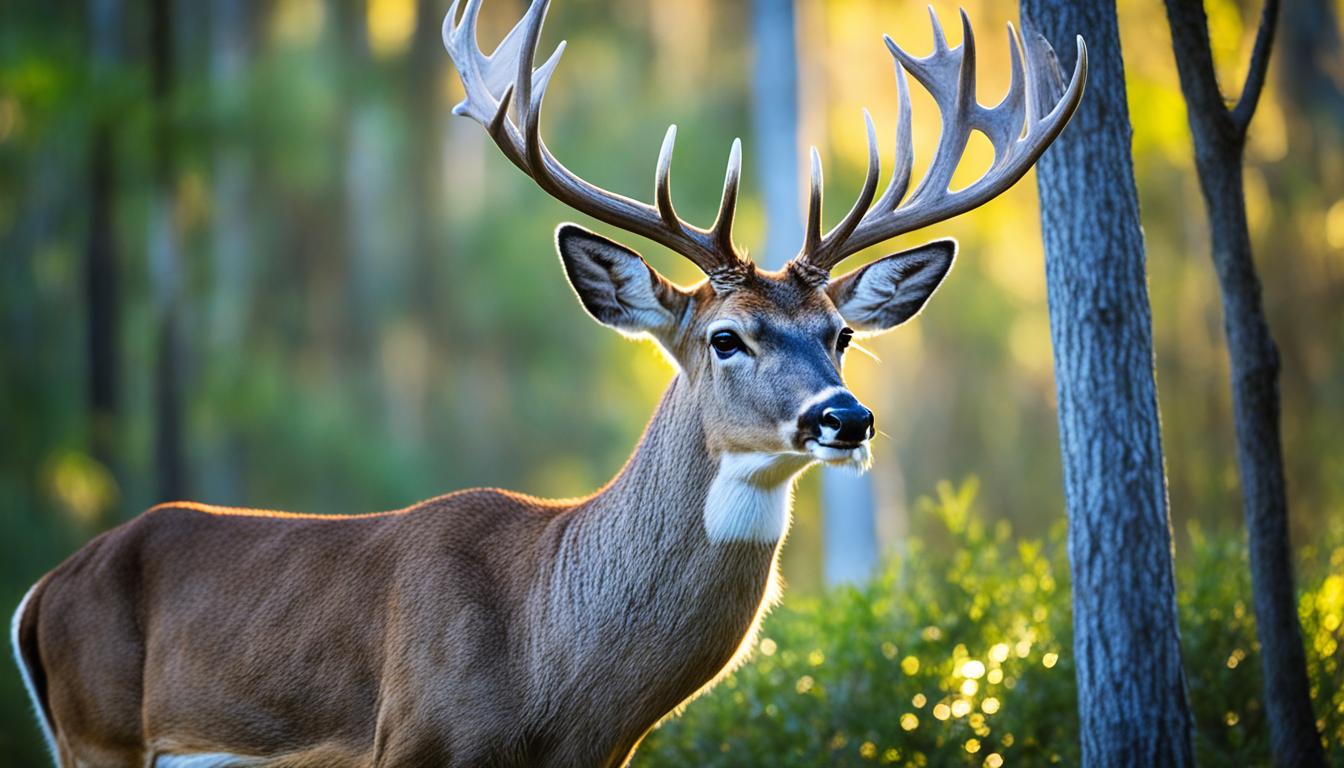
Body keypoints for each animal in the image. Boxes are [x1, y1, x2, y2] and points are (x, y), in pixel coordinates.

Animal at [11, 2, 1085, 766]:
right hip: (100, 734)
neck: (547, 672)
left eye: (844, 336)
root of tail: (41, 594)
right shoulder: (409, 743)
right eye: (727, 337)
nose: (845, 418)